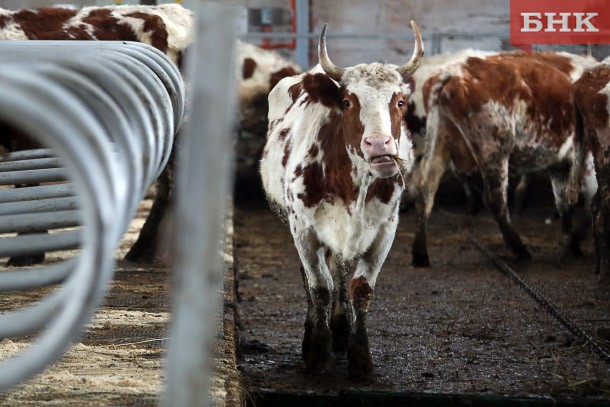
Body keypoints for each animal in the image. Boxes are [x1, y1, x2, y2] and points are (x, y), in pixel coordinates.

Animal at [258, 21, 422, 380]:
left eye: (399, 102)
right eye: (347, 101)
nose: (379, 144)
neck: (353, 186)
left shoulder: (384, 231)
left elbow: (359, 288)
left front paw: (360, 358)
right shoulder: (304, 230)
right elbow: (320, 287)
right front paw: (317, 354)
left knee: (342, 274)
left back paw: (341, 330)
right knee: (316, 279)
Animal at [410, 51, 596, 268]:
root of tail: (453, 71)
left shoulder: (558, 166)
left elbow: (564, 203)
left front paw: (571, 243)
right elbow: (591, 203)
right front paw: (574, 239)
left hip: (439, 141)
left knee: (426, 193)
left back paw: (420, 254)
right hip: (494, 151)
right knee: (495, 200)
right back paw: (519, 248)